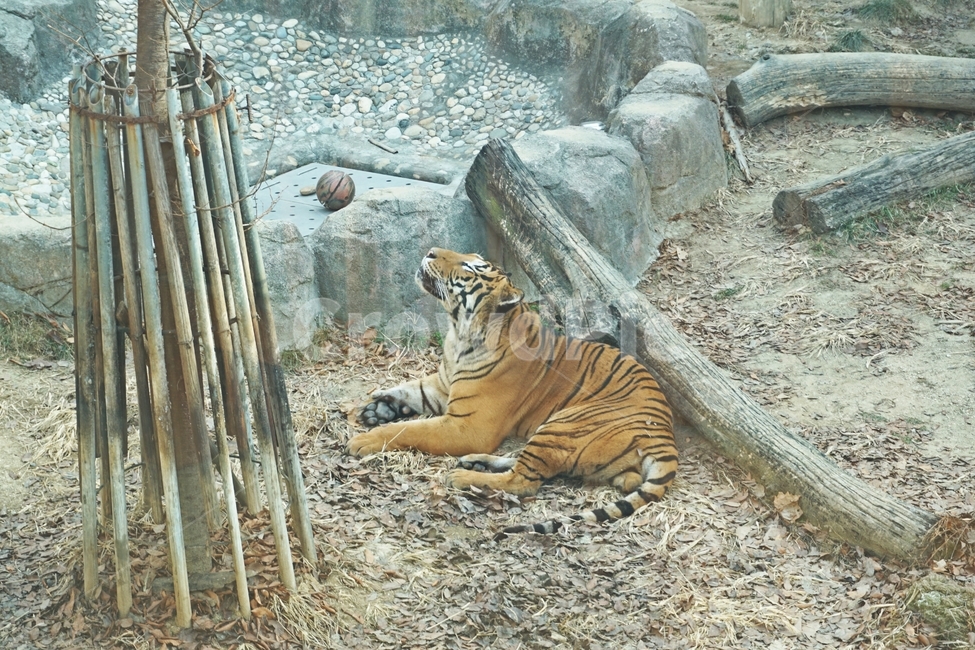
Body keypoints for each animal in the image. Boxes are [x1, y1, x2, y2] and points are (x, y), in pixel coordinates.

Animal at [348, 248, 677, 536]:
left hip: (564, 423)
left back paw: (463, 475)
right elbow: (410, 389)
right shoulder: (442, 385)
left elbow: (411, 429)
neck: (459, 335)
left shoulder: (467, 425)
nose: (429, 251)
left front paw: (364, 440)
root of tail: (665, 436)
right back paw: (475, 462)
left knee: (524, 480)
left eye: (470, 268)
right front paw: (377, 408)